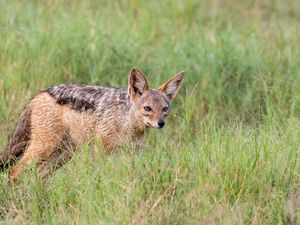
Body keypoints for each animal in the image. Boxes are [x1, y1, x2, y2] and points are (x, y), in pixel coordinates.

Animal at [0, 67, 184, 181]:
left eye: (165, 109)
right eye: (147, 108)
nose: (161, 123)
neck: (125, 122)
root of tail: (40, 93)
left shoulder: (133, 154)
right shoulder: (100, 151)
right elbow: (100, 177)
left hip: (61, 156)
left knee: (38, 175)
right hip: (44, 149)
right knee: (13, 173)